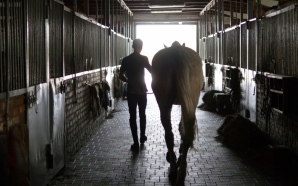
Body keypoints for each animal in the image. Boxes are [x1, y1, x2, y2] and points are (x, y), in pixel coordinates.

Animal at [151, 41, 205, 185]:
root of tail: (176, 52)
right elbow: (182, 127)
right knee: (182, 134)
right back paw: (180, 172)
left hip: (165, 104)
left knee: (170, 135)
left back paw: (175, 168)